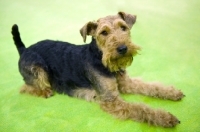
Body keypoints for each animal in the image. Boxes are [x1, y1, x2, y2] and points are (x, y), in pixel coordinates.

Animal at [11, 11, 184, 127]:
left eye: (123, 27)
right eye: (104, 32)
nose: (122, 48)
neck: (103, 61)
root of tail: (24, 49)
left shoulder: (125, 84)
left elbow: (151, 86)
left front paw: (172, 92)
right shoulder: (111, 100)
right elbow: (140, 108)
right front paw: (165, 118)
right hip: (39, 71)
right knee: (26, 87)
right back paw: (45, 92)